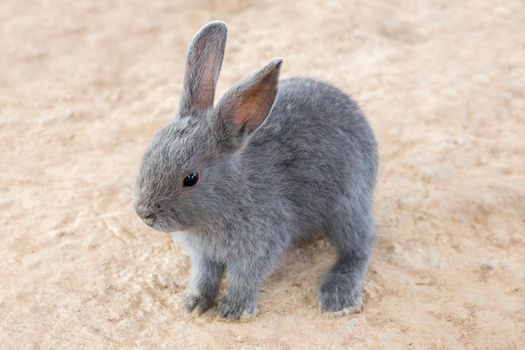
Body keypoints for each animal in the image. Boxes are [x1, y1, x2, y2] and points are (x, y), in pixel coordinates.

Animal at [135, 19, 376, 320]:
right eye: (148, 154)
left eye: (190, 178)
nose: (144, 213)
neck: (232, 193)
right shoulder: (204, 256)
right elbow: (204, 276)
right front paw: (194, 303)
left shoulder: (260, 246)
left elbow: (245, 276)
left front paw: (233, 309)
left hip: (346, 206)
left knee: (360, 246)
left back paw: (338, 298)